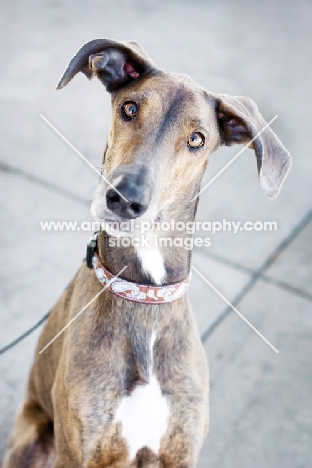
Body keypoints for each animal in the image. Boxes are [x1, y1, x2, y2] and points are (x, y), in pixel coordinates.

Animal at [2, 38, 290, 466]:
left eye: (197, 139)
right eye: (130, 108)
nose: (125, 198)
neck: (144, 296)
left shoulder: (179, 451)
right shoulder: (78, 450)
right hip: (35, 437)